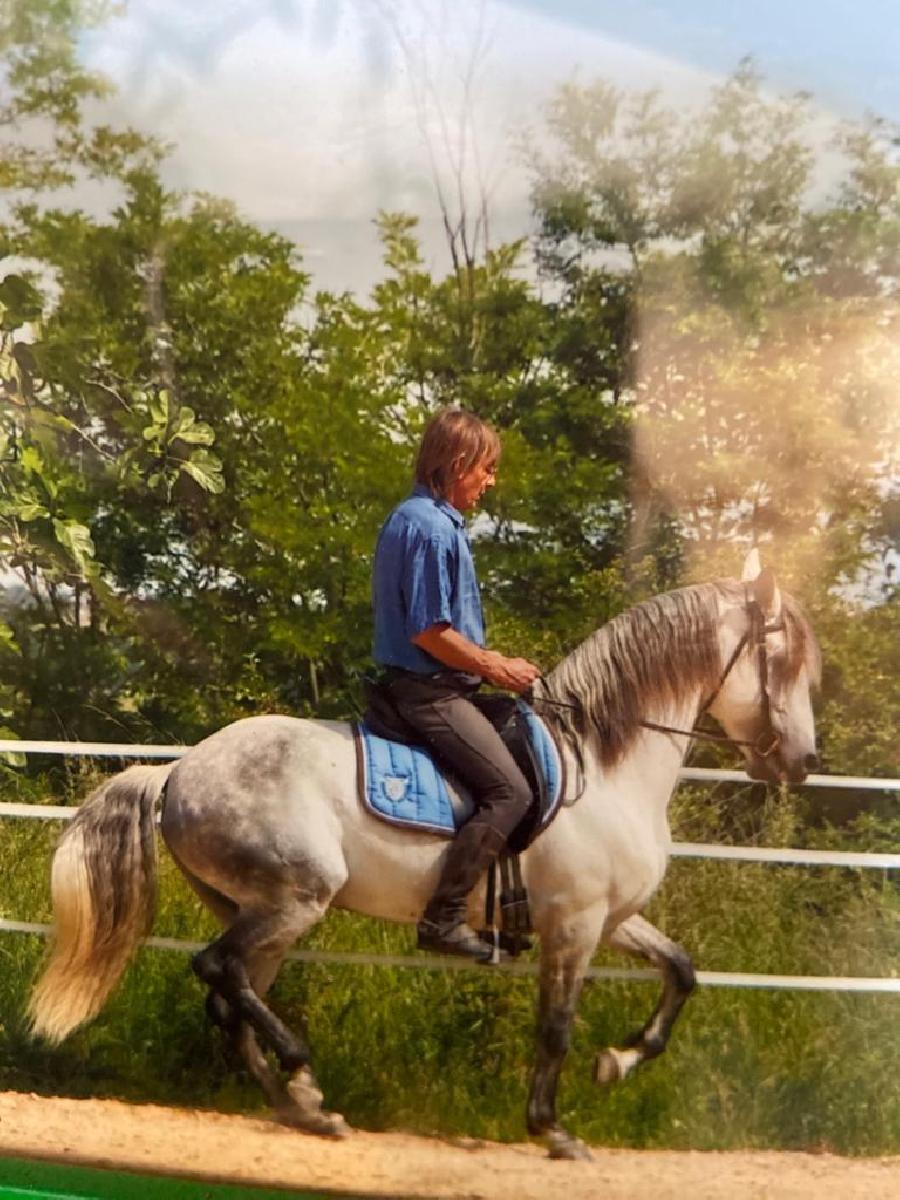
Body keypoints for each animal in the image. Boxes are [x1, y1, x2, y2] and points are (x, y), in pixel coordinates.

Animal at [30, 554, 816, 1161]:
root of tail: (177, 771)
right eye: (785, 662)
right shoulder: (574, 924)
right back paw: (303, 1075)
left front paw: (615, 1064)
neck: (603, 765)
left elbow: (681, 972)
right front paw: (553, 1130)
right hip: (295, 899)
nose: (802, 762)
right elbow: (556, 1027)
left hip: (264, 911)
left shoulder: (612, 917)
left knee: (233, 994)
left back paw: (306, 1108)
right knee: (218, 970)